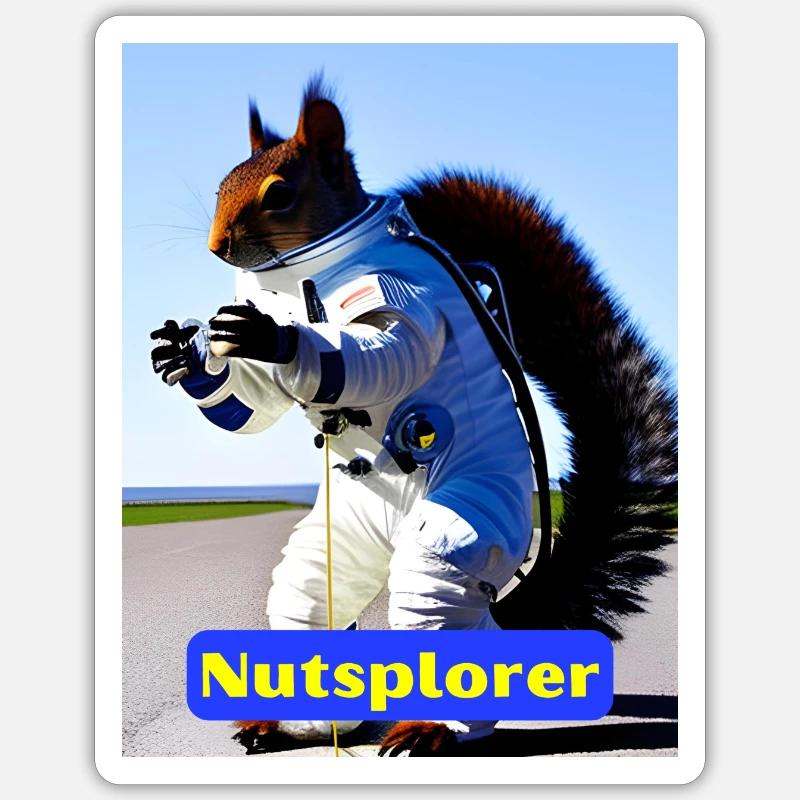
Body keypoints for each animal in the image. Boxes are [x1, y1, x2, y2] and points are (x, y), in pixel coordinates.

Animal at [151, 75, 677, 756]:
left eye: (280, 194)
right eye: (221, 185)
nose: (217, 249)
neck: (303, 279)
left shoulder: (400, 293)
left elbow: (384, 351)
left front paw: (278, 340)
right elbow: (253, 400)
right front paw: (185, 357)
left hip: (460, 527)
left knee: (447, 606)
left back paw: (431, 728)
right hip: (337, 540)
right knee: (310, 597)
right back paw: (286, 725)